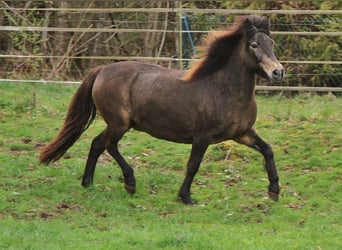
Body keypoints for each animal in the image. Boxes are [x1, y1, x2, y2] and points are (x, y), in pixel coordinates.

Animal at [39, 15, 284, 204]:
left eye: (271, 43)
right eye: (254, 45)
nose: (278, 72)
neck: (223, 90)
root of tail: (102, 70)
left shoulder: (242, 134)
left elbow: (268, 149)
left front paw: (274, 191)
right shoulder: (202, 137)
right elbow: (193, 165)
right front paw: (186, 197)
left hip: (118, 124)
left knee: (97, 144)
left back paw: (88, 183)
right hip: (119, 123)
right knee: (108, 145)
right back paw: (129, 183)